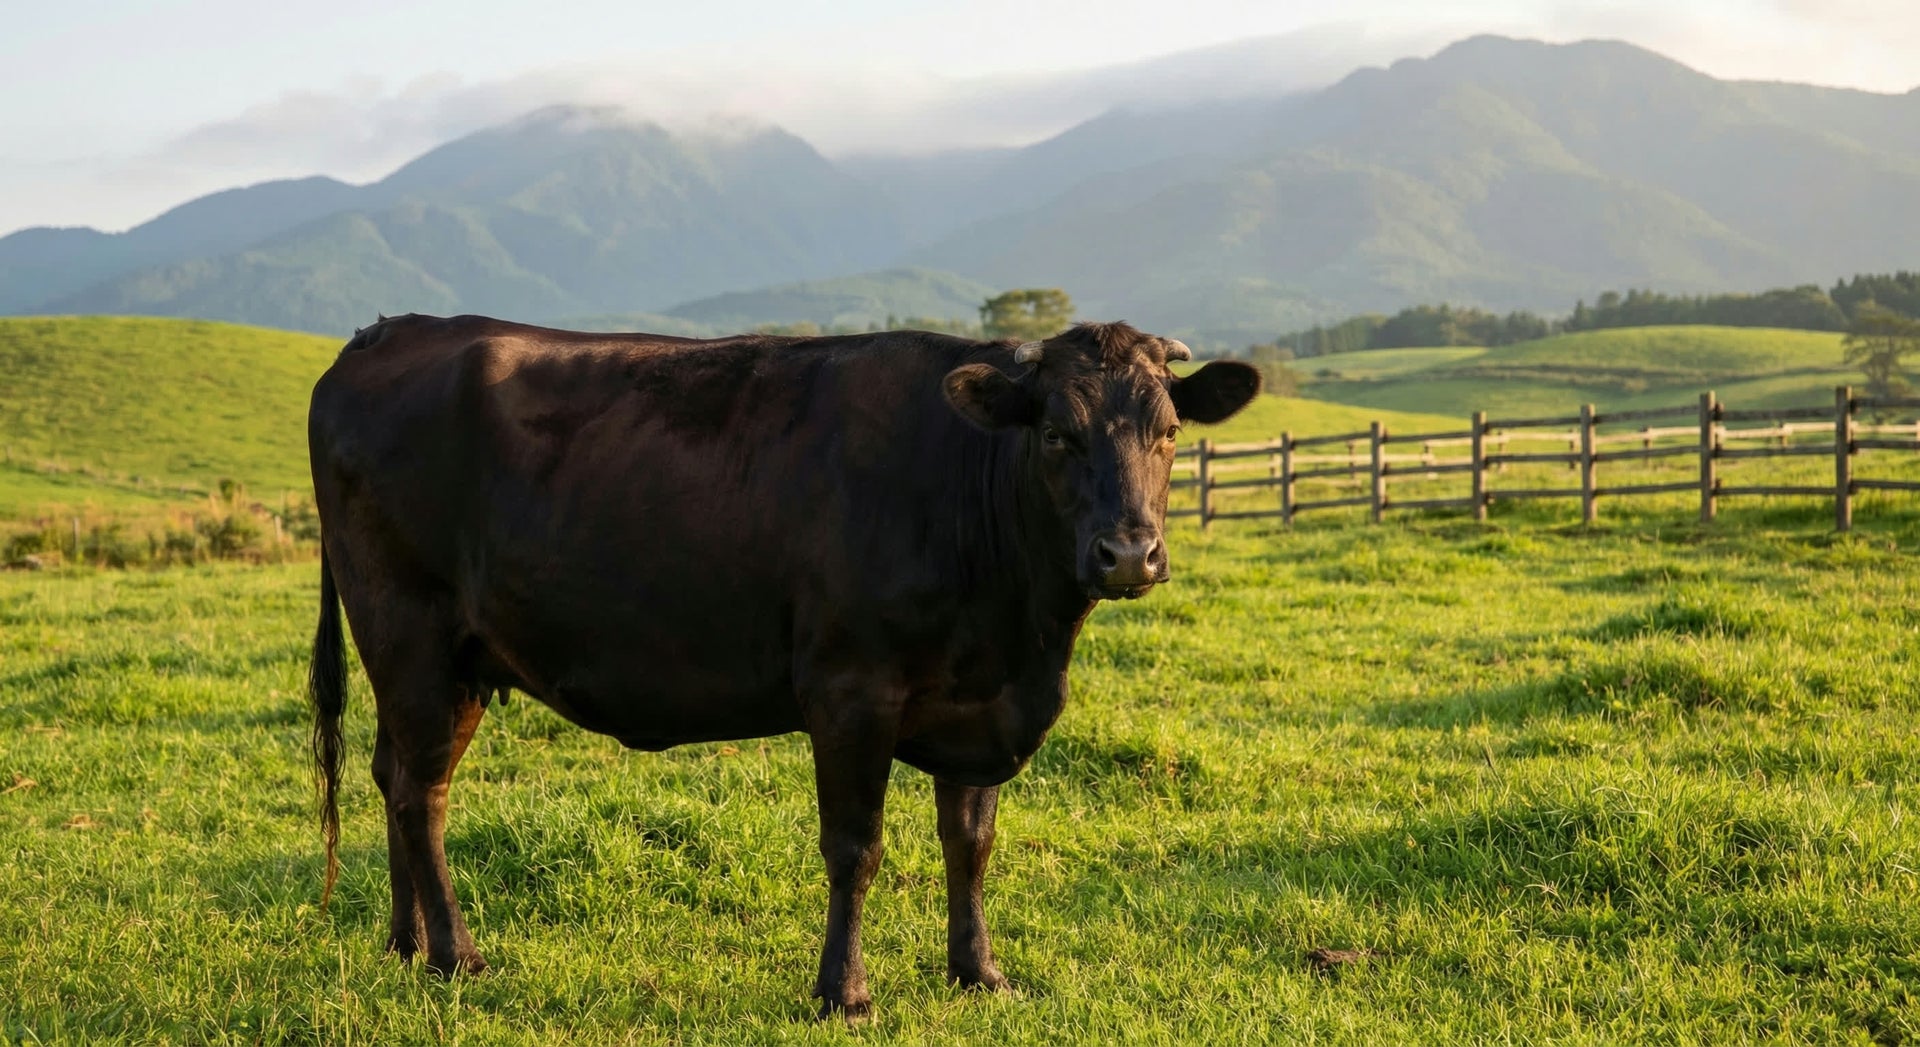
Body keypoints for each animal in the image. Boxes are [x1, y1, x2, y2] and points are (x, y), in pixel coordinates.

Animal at [305, 314, 1259, 1019]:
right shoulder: (849, 690)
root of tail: (384, 332)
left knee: (393, 774)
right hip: (411, 635)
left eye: (1170, 432)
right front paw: (845, 991)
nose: (1129, 553)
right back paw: (456, 955)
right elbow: (855, 848)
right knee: (421, 794)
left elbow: (971, 843)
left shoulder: (976, 701)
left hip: (438, 661)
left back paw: (404, 942)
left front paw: (979, 973)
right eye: (1058, 434)